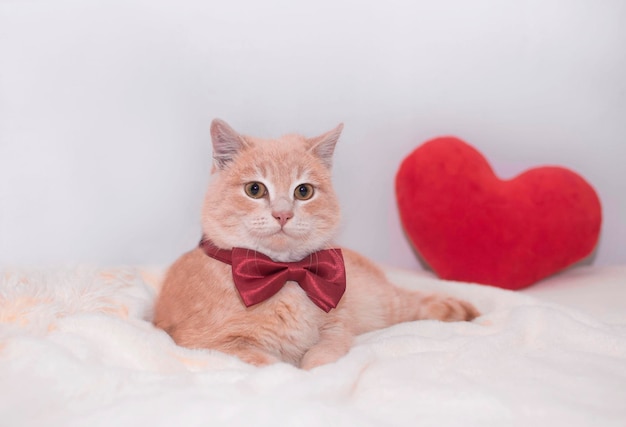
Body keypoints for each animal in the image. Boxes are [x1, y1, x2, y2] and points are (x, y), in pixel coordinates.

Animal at [154, 118, 480, 370]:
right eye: (255, 189)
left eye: (304, 191)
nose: (283, 214)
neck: (286, 275)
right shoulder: (206, 343)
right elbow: (268, 363)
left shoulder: (336, 328)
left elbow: (323, 354)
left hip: (380, 304)